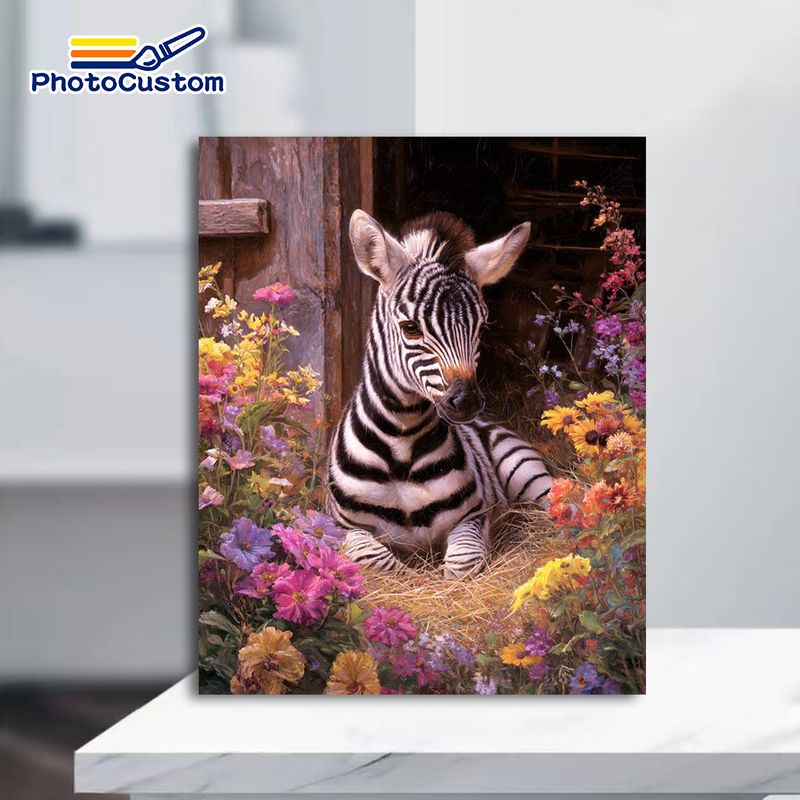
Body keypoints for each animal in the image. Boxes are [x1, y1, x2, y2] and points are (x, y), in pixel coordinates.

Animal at [327, 209, 552, 579]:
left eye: (481, 328)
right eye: (410, 329)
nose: (468, 402)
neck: (401, 443)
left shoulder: (474, 516)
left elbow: (461, 564)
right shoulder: (340, 526)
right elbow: (376, 559)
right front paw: (411, 575)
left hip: (525, 470)